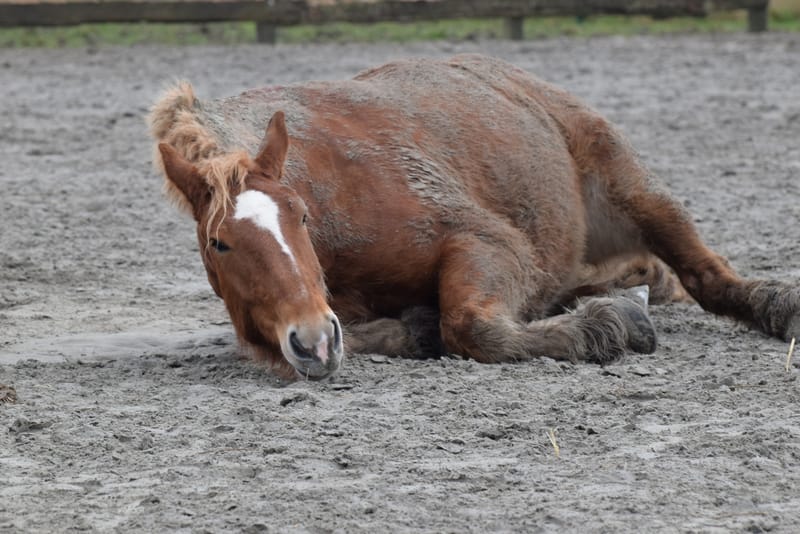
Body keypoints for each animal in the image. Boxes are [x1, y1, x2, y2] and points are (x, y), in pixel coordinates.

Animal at [148, 54, 799, 380]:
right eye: (219, 245)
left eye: (301, 217)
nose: (311, 342)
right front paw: (413, 329)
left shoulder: (487, 242)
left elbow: (471, 325)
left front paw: (606, 327)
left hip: (634, 187)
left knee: (706, 277)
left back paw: (775, 306)